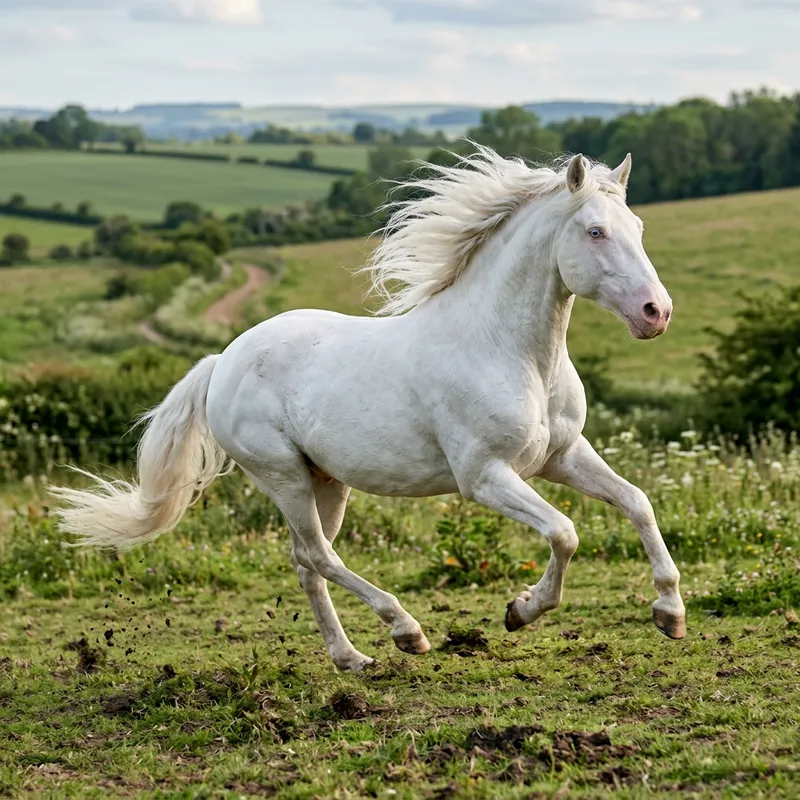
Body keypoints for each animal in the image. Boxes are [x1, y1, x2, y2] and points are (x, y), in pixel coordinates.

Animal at [50, 145, 686, 672]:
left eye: (638, 227)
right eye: (595, 231)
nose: (656, 313)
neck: (511, 351)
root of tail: (222, 361)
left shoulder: (561, 455)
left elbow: (637, 502)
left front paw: (670, 612)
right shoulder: (484, 476)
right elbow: (565, 533)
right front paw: (521, 610)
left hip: (326, 481)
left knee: (306, 561)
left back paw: (351, 658)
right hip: (282, 474)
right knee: (318, 554)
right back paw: (405, 631)